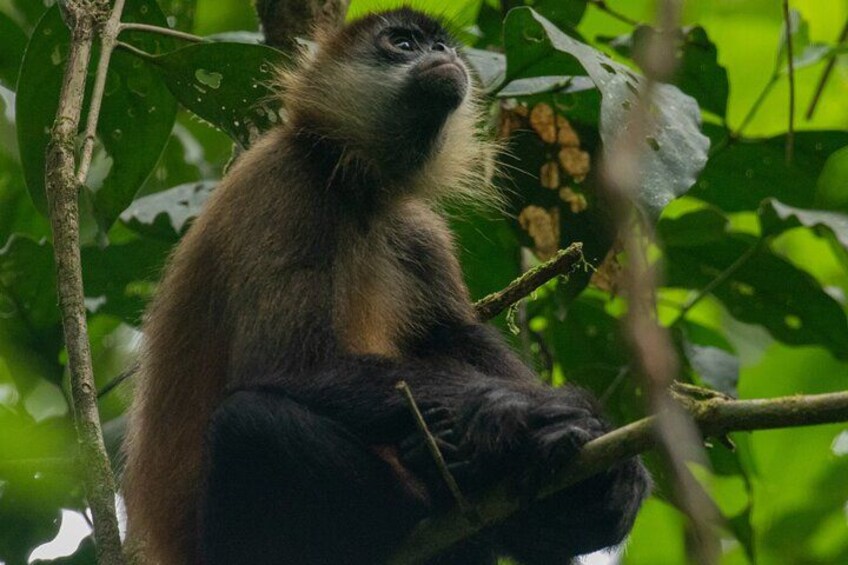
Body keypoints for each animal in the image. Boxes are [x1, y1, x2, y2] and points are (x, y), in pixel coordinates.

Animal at [122, 8, 649, 565]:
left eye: (442, 45)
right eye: (402, 43)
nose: (441, 55)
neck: (359, 189)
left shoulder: (416, 229)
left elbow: (457, 336)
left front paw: (600, 456)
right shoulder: (282, 184)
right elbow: (285, 366)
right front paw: (519, 412)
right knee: (248, 423)